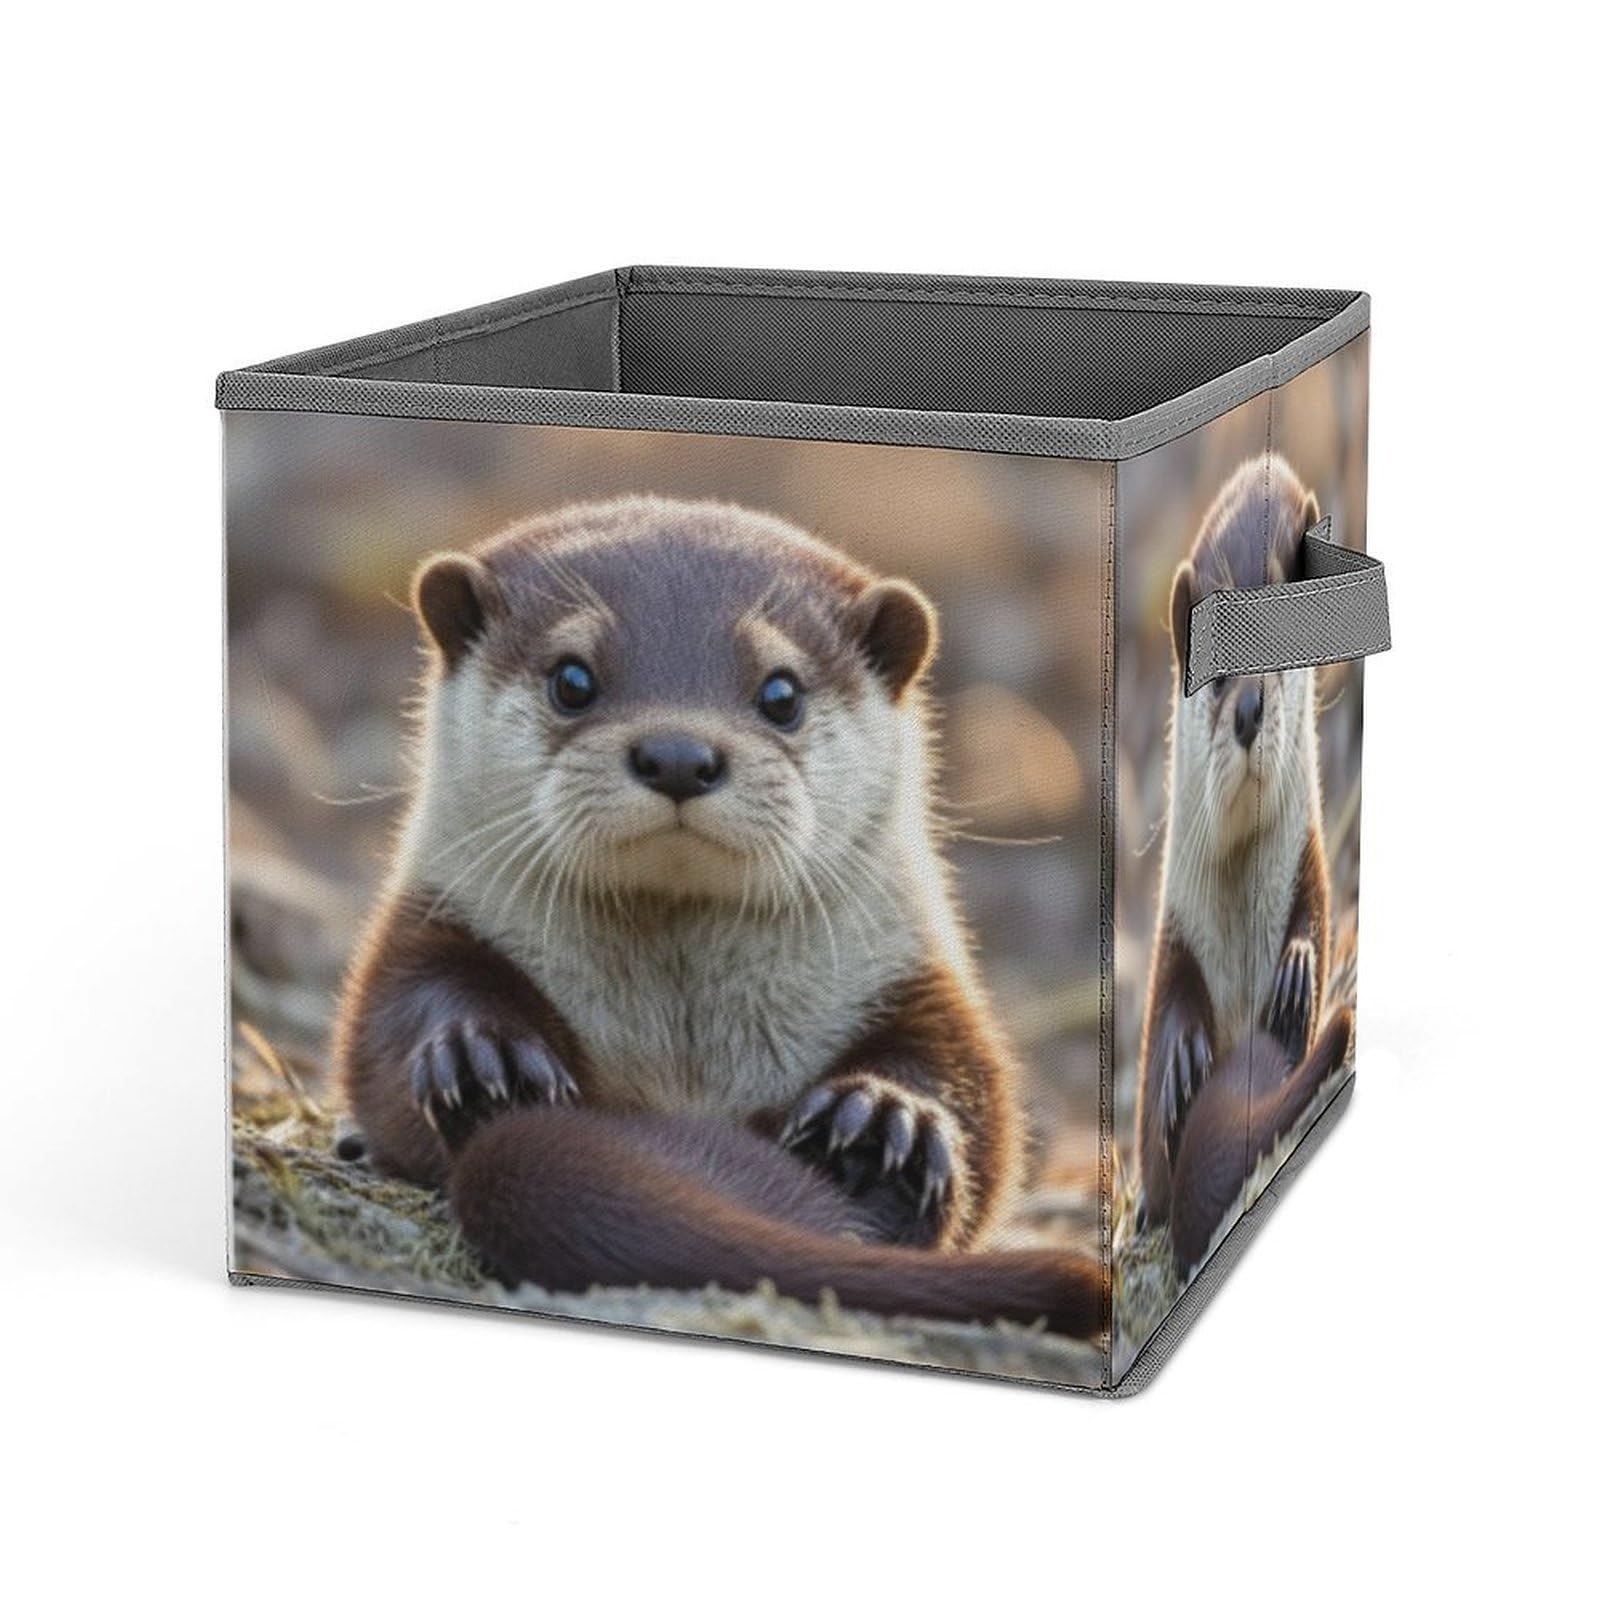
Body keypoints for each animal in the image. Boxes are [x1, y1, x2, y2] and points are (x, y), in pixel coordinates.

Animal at [334, 495, 1103, 1338]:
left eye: (781, 694)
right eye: (572, 679)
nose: (677, 754)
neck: (686, 1053)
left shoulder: (916, 979)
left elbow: (977, 1102)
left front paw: (882, 1123)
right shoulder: (429, 924)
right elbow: (394, 1025)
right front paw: (483, 1059)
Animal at [1136, 455, 1349, 1245]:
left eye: (1280, 659)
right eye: (1215, 673)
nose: (1251, 708)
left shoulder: (1308, 862)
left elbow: (1316, 915)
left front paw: (1297, 971)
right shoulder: (1175, 924)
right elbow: (1165, 1010)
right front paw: (1181, 1064)